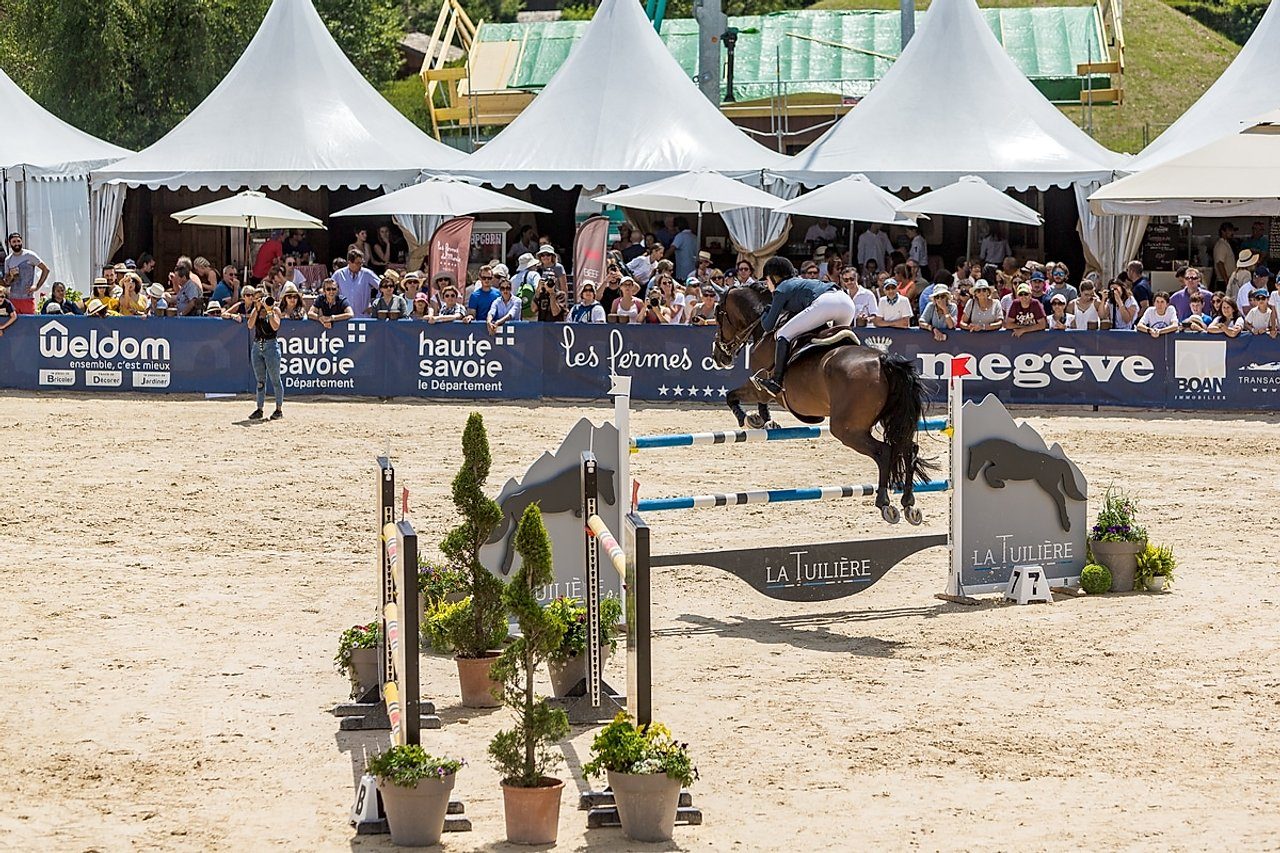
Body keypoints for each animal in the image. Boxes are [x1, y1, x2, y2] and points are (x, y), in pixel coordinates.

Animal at [711, 281, 931, 522]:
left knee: (884, 452)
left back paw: (884, 503)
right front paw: (764, 420)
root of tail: (883, 360)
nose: (718, 357)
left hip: (846, 429)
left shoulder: (760, 388)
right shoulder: (762, 391)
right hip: (889, 419)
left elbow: (733, 395)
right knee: (909, 450)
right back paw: (909, 504)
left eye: (719, 313)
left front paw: (749, 418)